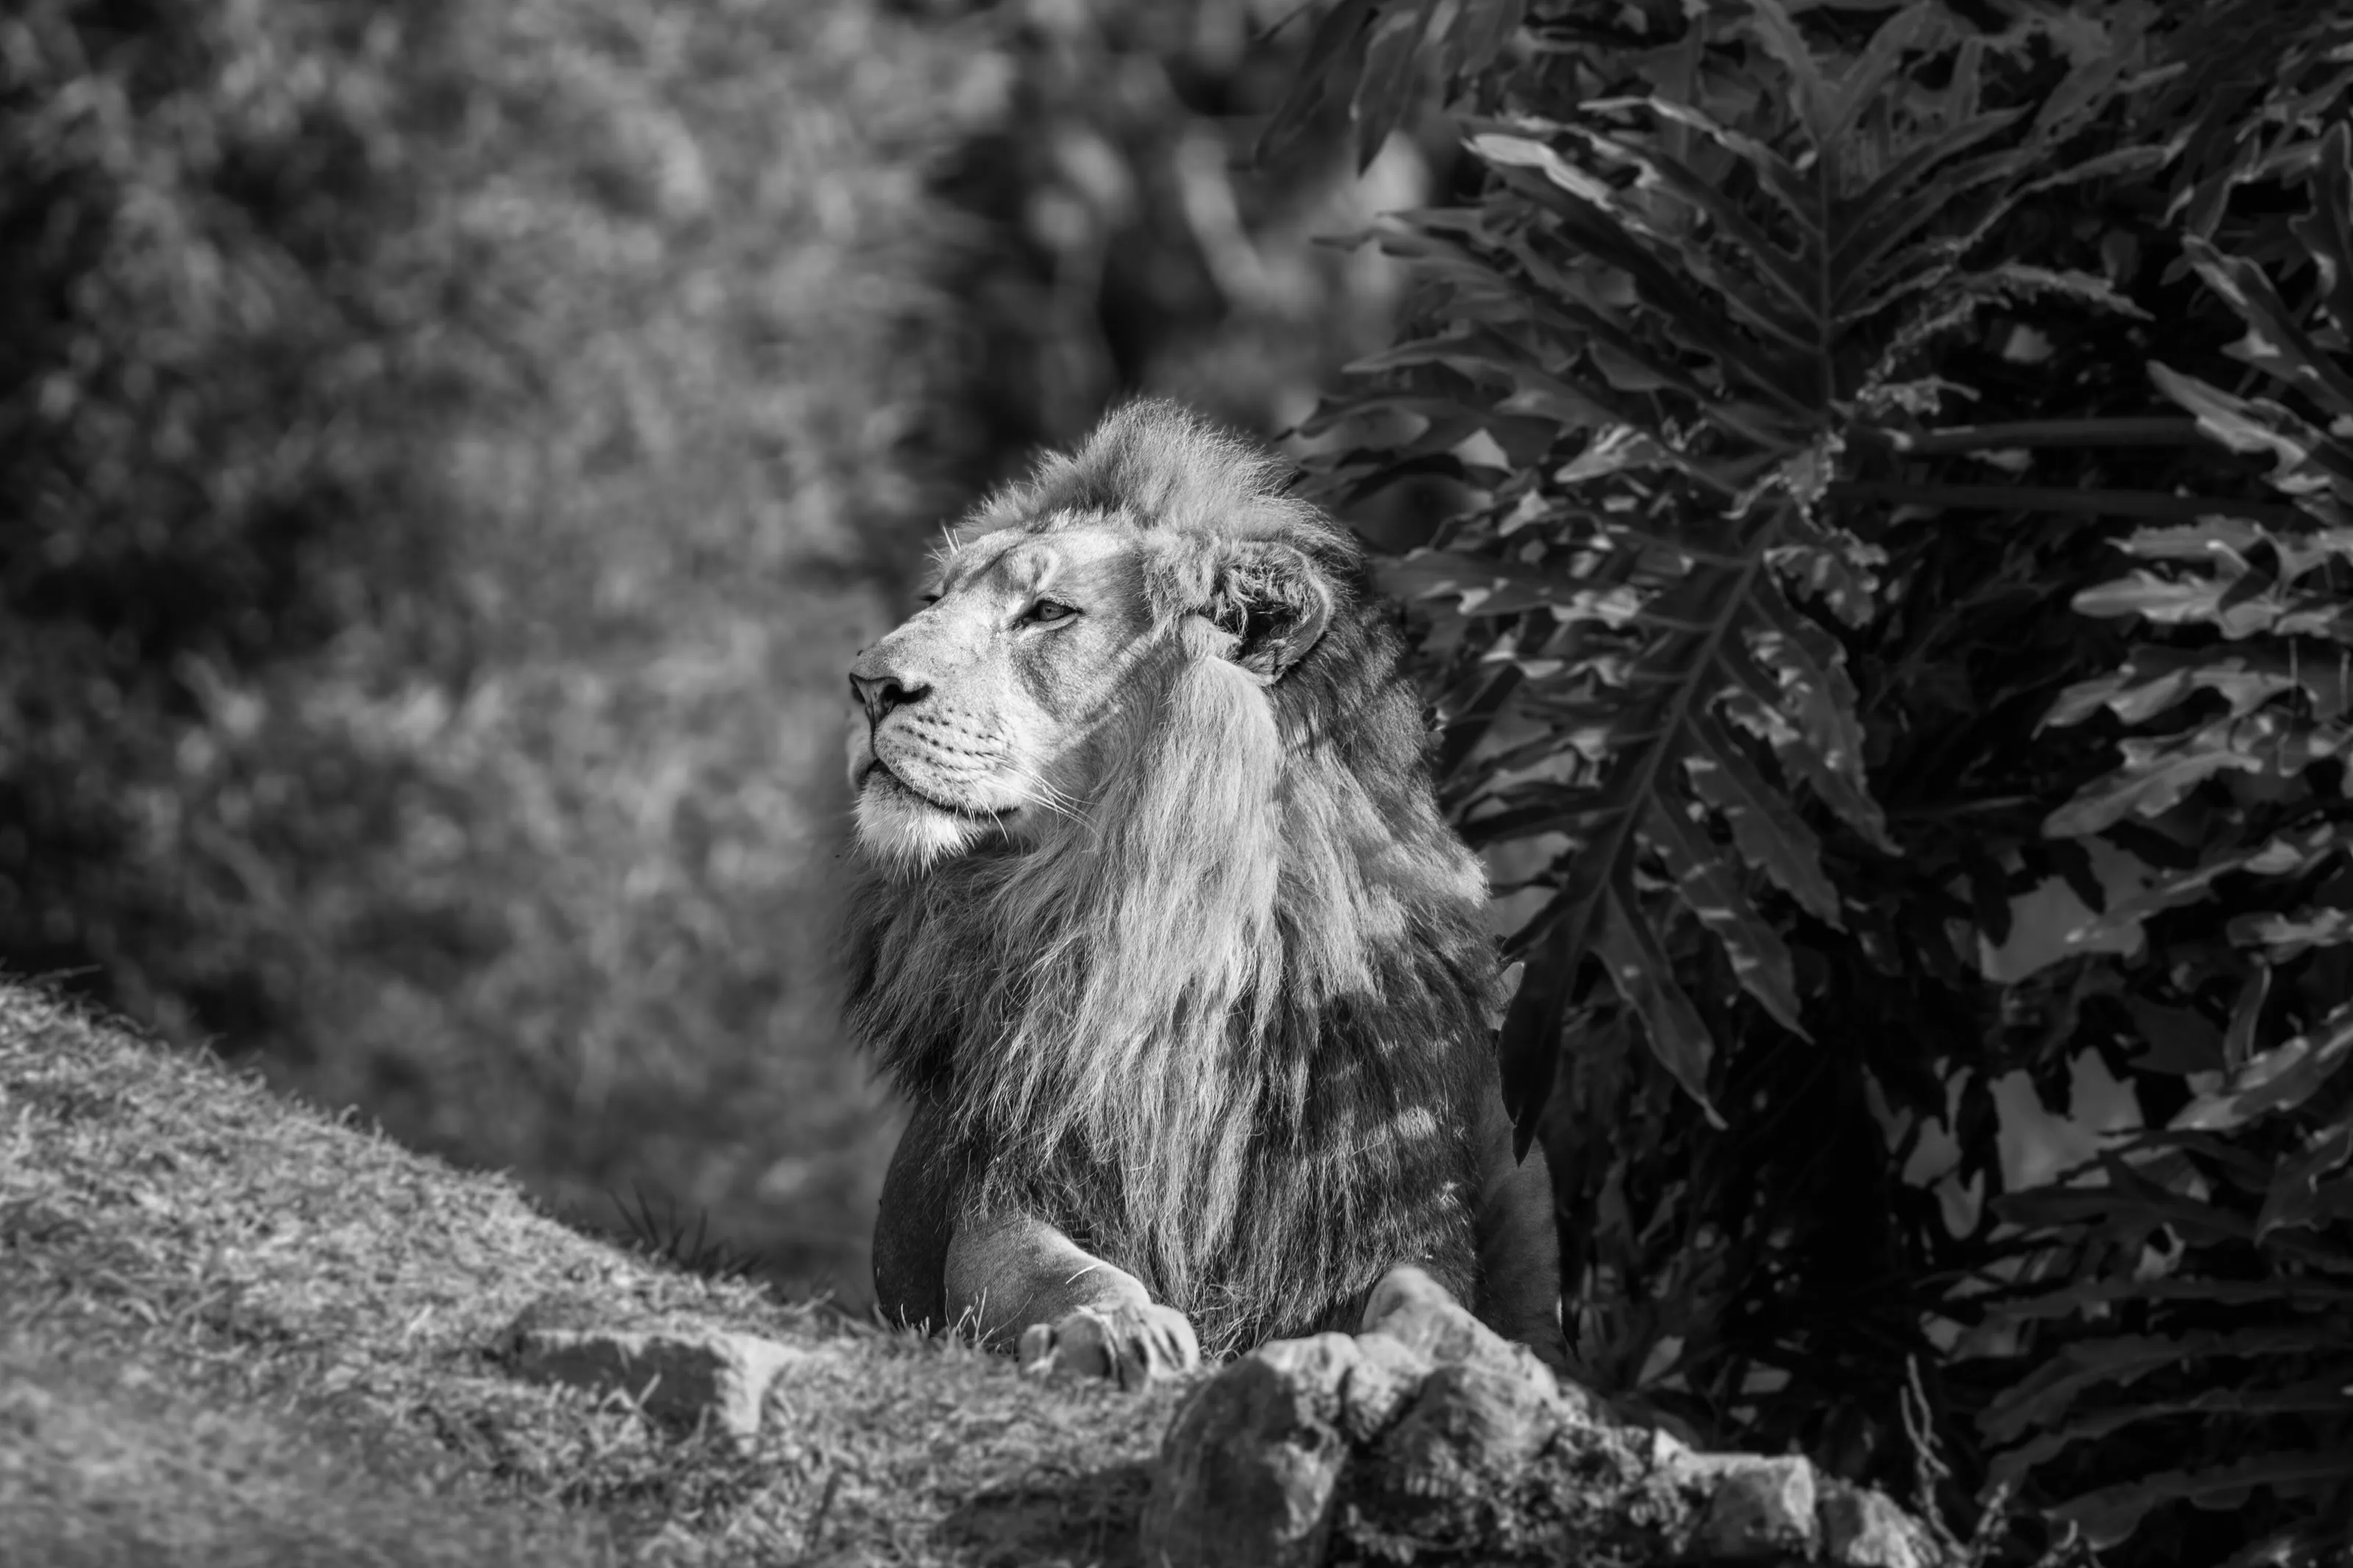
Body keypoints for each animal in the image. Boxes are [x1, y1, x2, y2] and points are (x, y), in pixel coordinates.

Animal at [841, 399, 1561, 1385]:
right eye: (932, 601)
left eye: (1047, 612)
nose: (868, 683)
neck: (1179, 929)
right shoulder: (1008, 1179)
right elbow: (1053, 1273)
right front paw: (1117, 1331)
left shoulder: (1390, 1200)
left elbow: (1420, 1292)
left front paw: (1434, 1346)